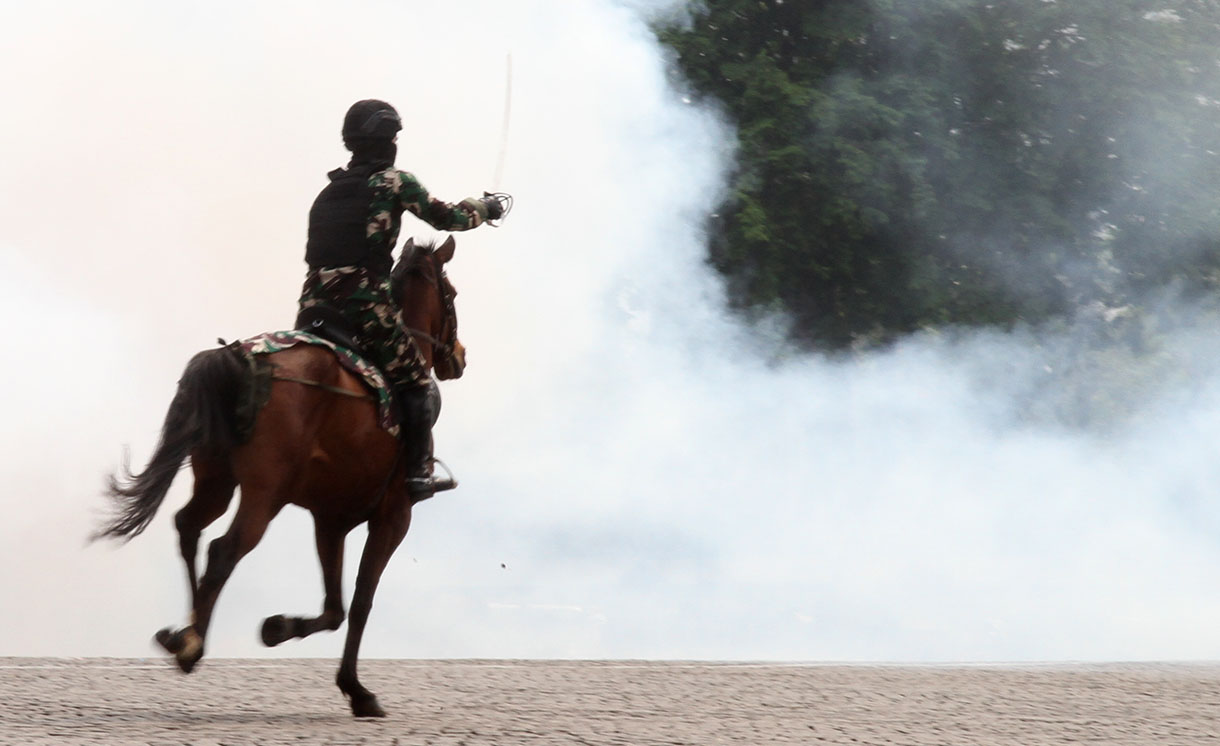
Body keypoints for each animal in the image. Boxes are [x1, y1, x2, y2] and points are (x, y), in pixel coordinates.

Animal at [95, 238, 463, 717]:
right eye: (451, 294)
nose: (459, 356)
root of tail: (236, 355)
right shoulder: (393, 515)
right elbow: (361, 600)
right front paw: (357, 690)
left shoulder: (330, 519)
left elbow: (335, 607)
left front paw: (279, 628)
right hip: (264, 493)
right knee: (225, 548)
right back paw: (191, 642)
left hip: (216, 481)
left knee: (189, 528)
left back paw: (184, 633)